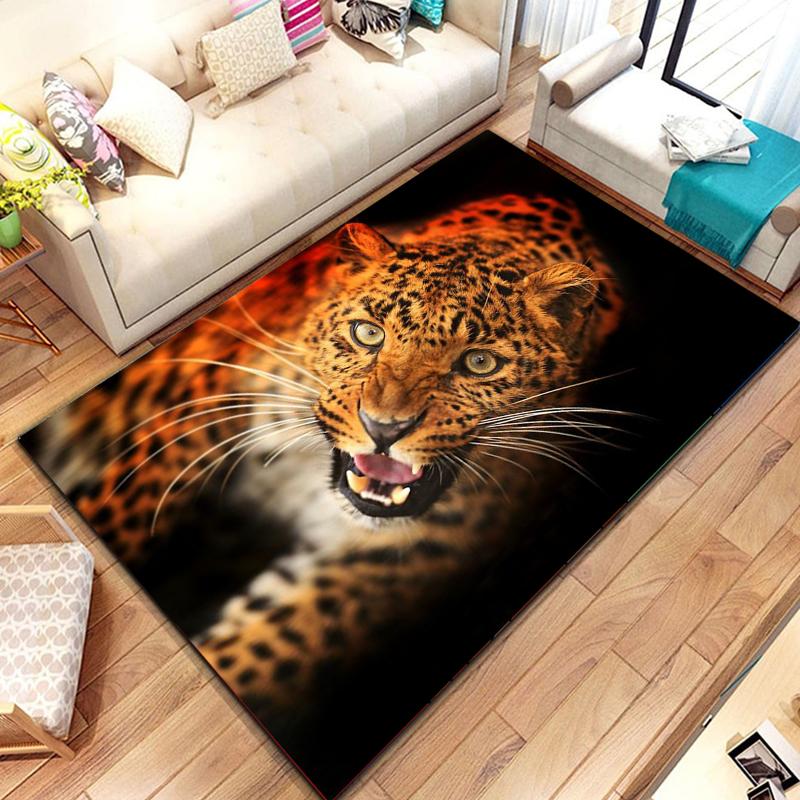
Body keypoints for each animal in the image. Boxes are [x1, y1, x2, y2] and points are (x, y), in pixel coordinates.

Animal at [28, 193, 624, 727]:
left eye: (479, 363)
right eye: (368, 333)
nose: (385, 429)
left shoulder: (365, 574)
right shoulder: (197, 414)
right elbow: (129, 502)